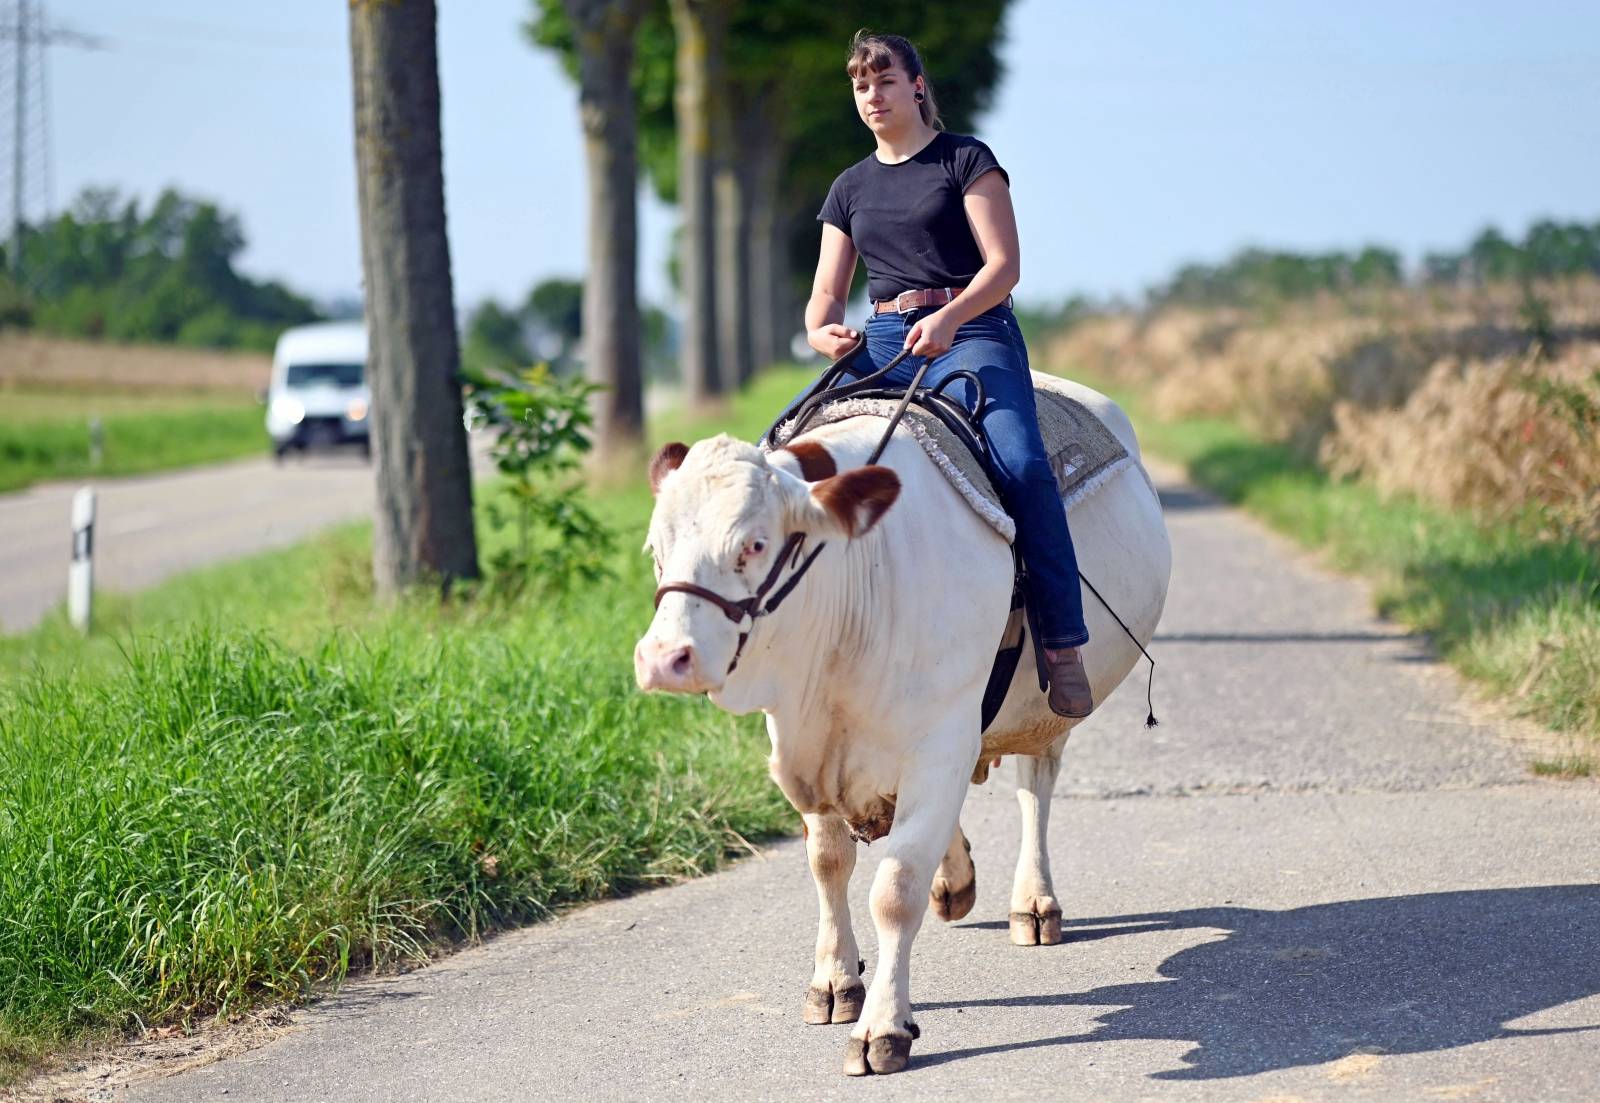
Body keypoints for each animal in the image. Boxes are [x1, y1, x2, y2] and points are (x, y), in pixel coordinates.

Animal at [636, 381, 1177, 1075]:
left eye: (753, 545)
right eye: (656, 551)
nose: (662, 659)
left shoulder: (940, 739)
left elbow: (895, 888)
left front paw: (882, 1028)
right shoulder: (803, 740)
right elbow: (828, 861)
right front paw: (835, 981)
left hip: (1047, 708)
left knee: (1035, 788)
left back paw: (1034, 902)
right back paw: (955, 879)